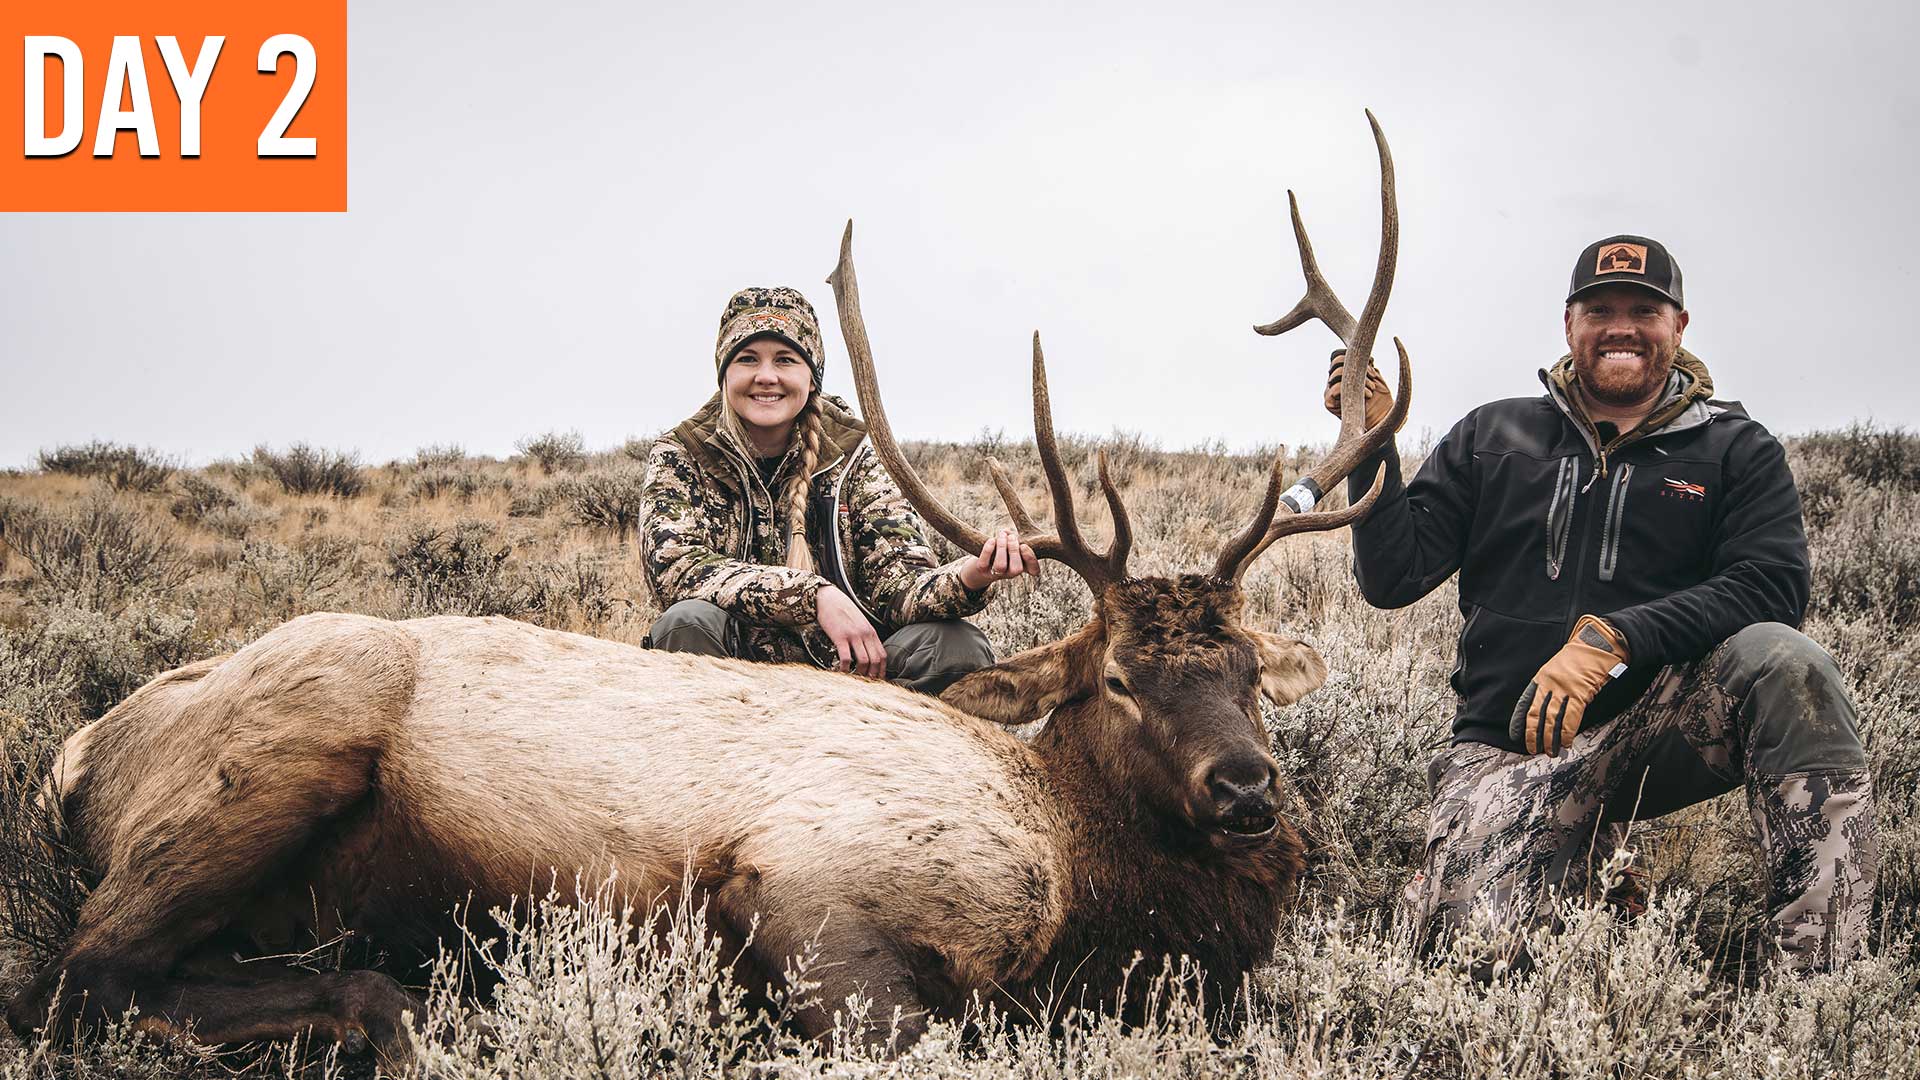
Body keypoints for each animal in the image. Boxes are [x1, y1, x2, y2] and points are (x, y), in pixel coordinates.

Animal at [4, 114, 1410, 1070]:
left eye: (1248, 671)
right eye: (1118, 676)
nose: (1249, 790)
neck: (1079, 882)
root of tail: (78, 753)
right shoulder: (808, 889)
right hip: (290, 738)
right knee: (78, 976)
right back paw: (394, 1007)